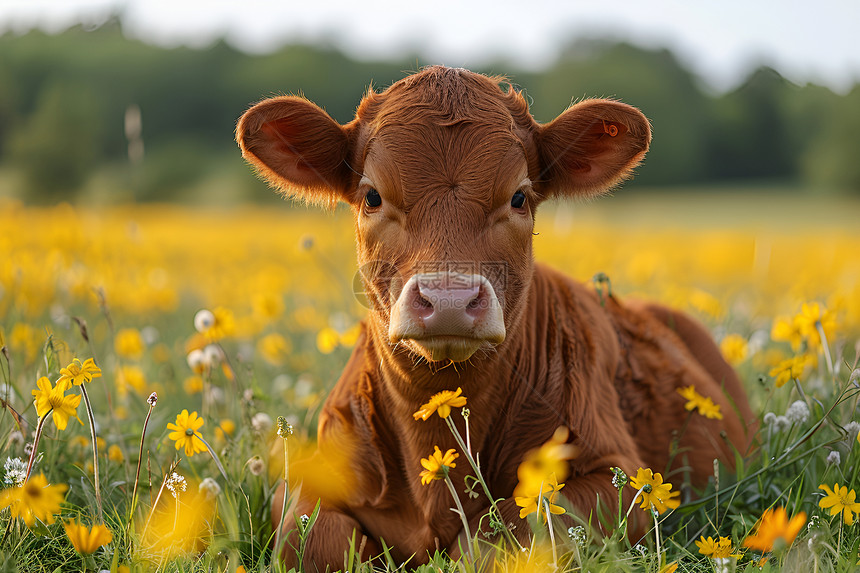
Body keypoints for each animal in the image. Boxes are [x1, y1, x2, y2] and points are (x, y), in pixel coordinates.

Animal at [237, 66, 752, 568]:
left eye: (519, 198)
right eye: (372, 196)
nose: (448, 300)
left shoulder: (618, 475)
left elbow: (499, 534)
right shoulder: (305, 483)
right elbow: (311, 539)